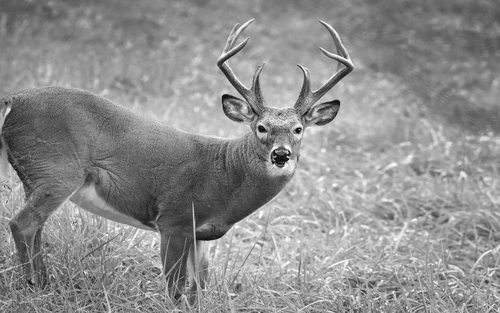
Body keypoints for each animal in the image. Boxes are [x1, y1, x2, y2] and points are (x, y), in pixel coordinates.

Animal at [0, 19, 352, 298]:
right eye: (261, 127)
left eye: (298, 129)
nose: (281, 154)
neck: (225, 175)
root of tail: (13, 99)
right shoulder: (174, 219)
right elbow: (175, 289)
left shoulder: (201, 235)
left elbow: (199, 290)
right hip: (57, 170)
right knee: (21, 223)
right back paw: (34, 287)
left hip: (37, 175)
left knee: (36, 228)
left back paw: (45, 283)